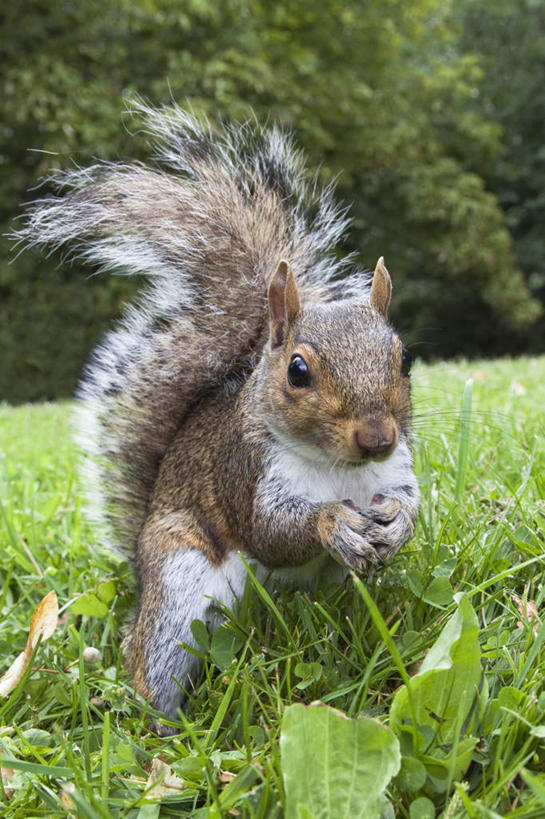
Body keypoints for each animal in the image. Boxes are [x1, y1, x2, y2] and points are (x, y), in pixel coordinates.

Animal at [17, 102, 416, 736]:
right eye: (297, 371)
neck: (341, 468)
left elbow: (408, 502)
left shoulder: (396, 468)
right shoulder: (244, 472)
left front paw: (398, 523)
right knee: (152, 660)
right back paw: (165, 733)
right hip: (178, 585)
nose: (377, 437)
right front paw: (330, 521)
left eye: (404, 358)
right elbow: (271, 533)